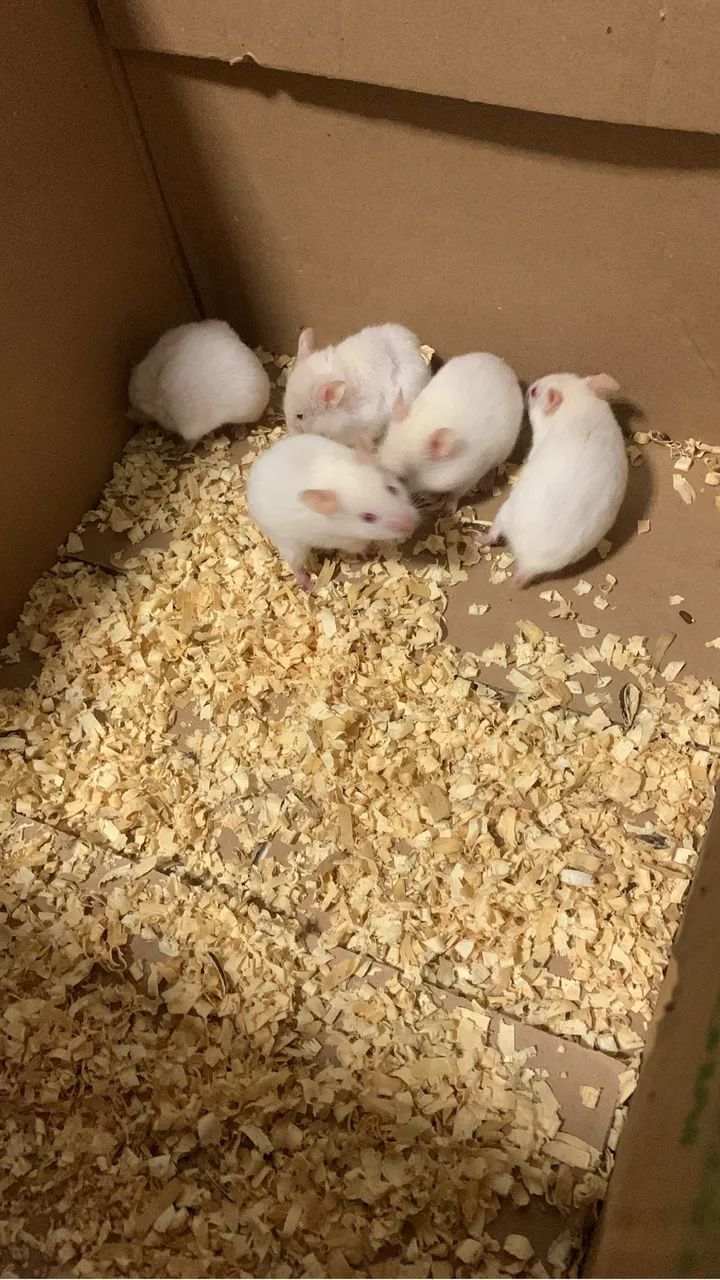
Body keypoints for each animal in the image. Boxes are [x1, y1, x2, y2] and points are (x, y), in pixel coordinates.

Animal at [246, 434, 419, 591]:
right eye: (368, 517)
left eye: (392, 489)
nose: (412, 523)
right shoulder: (346, 541)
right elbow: (362, 546)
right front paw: (372, 550)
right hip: (290, 544)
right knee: (296, 565)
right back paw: (308, 585)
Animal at [379, 352, 523, 512]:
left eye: (401, 478)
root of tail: (504, 365)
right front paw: (429, 497)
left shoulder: (469, 477)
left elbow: (456, 495)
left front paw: (448, 510)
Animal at [478, 372, 628, 586]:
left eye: (534, 392)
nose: (529, 386)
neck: (578, 403)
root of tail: (528, 564)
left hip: (504, 512)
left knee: (494, 533)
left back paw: (478, 538)